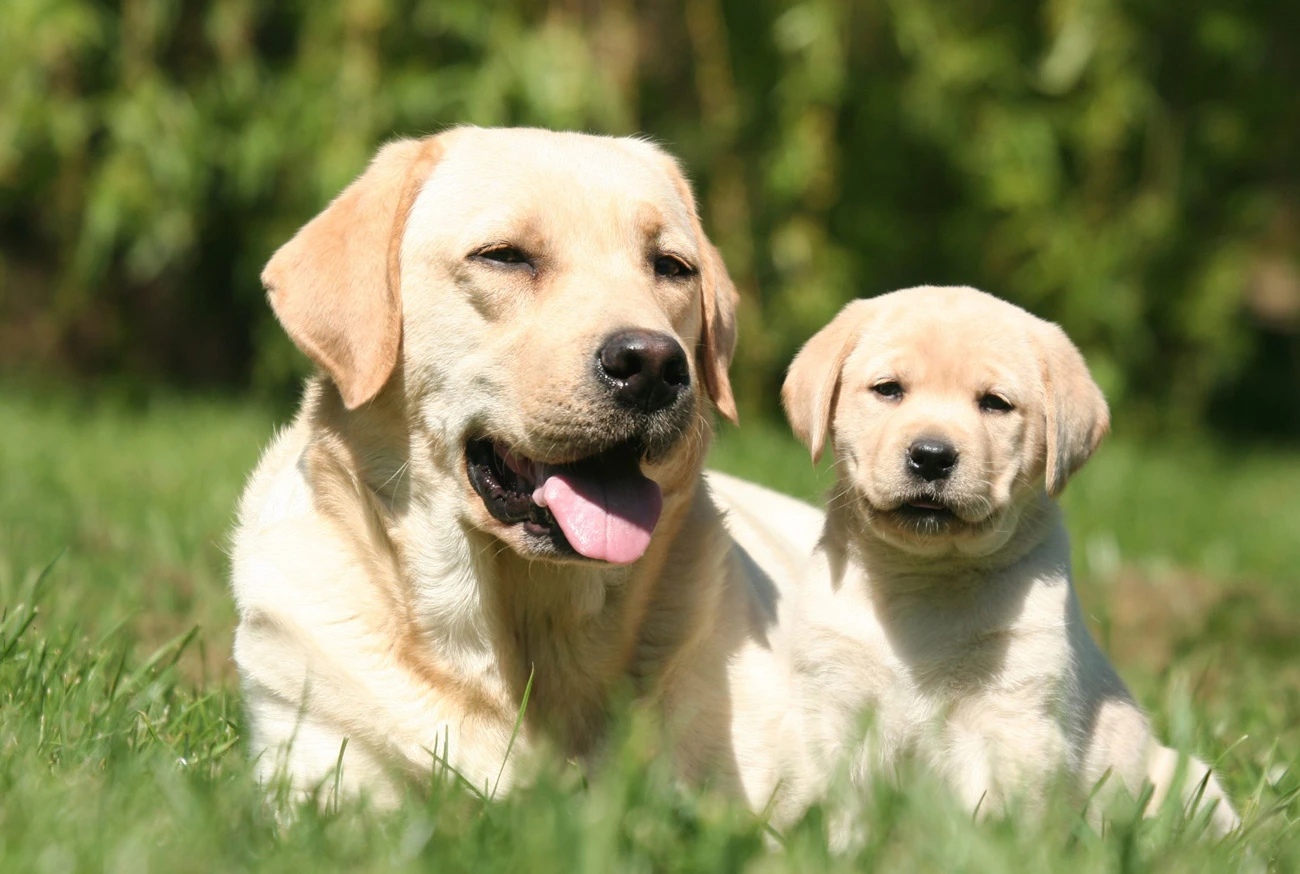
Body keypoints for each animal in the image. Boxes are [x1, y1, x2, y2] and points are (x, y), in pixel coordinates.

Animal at [780, 284, 1237, 832]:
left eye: (994, 404)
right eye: (888, 390)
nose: (931, 456)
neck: (925, 577)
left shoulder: (1014, 714)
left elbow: (1000, 819)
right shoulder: (833, 701)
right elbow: (837, 807)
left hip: (1188, 784)